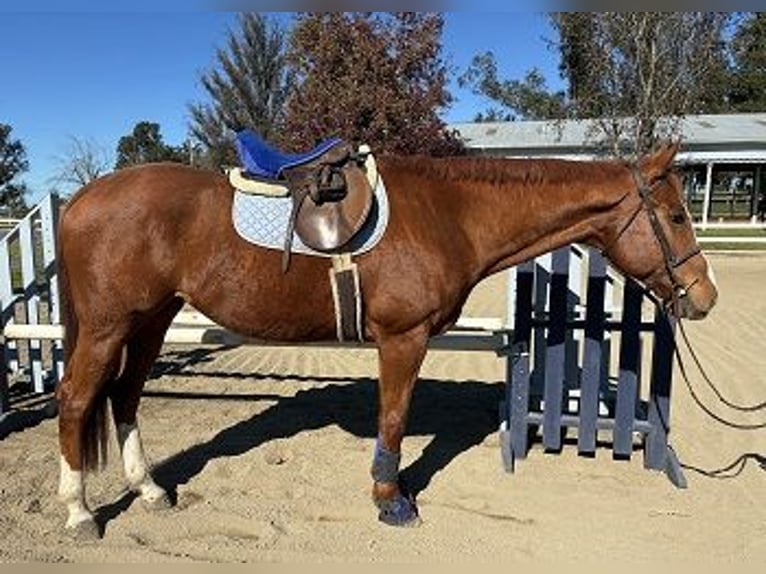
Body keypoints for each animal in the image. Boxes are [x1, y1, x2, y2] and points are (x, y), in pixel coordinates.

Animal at [54, 141, 717, 538]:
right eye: (677, 216)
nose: (705, 297)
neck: (451, 213)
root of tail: (82, 196)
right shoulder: (403, 339)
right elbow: (393, 419)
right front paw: (390, 499)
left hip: (152, 320)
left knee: (124, 397)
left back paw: (147, 489)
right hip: (111, 326)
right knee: (77, 399)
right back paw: (80, 511)